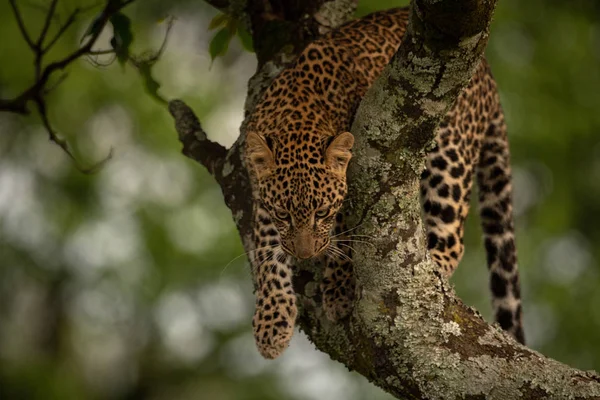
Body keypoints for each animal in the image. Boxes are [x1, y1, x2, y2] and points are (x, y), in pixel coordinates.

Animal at [241, 6, 524, 358]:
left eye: (323, 213)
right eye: (283, 214)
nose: (305, 255)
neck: (297, 109)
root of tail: (487, 74)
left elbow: (346, 237)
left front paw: (340, 290)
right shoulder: (261, 198)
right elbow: (267, 255)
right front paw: (272, 323)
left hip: (449, 152)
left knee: (453, 236)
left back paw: (430, 271)